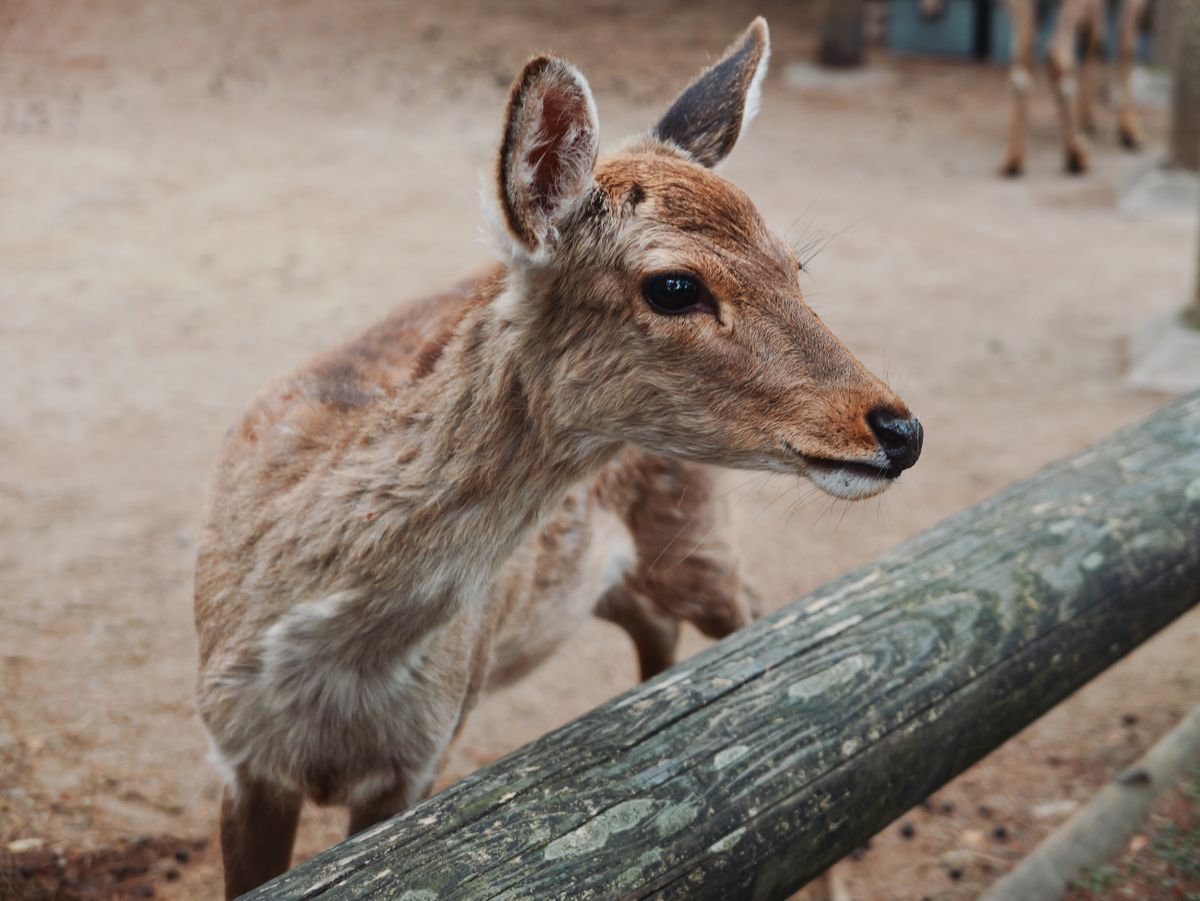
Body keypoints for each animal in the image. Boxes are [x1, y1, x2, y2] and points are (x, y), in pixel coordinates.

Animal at [193, 17, 923, 897]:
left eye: (794, 265)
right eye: (674, 286)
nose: (898, 429)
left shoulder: (424, 751)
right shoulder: (238, 758)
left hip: (699, 538)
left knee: (752, 608)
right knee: (660, 625)